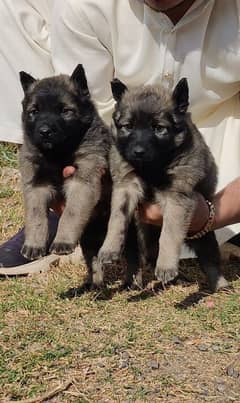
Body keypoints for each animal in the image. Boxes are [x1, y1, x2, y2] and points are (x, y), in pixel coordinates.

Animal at [18, 64, 110, 284]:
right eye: (34, 112)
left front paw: (62, 241)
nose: (44, 131)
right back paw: (94, 283)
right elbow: (35, 214)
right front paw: (34, 244)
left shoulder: (82, 181)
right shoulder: (36, 184)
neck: (57, 155)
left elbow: (71, 213)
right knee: (94, 257)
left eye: (65, 111)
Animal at [97, 78, 229, 294]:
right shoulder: (125, 186)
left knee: (210, 261)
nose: (138, 152)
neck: (152, 167)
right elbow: (117, 218)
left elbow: (169, 233)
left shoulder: (177, 197)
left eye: (159, 128)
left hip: (203, 233)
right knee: (139, 258)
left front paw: (166, 266)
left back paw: (220, 284)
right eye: (128, 126)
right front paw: (109, 248)